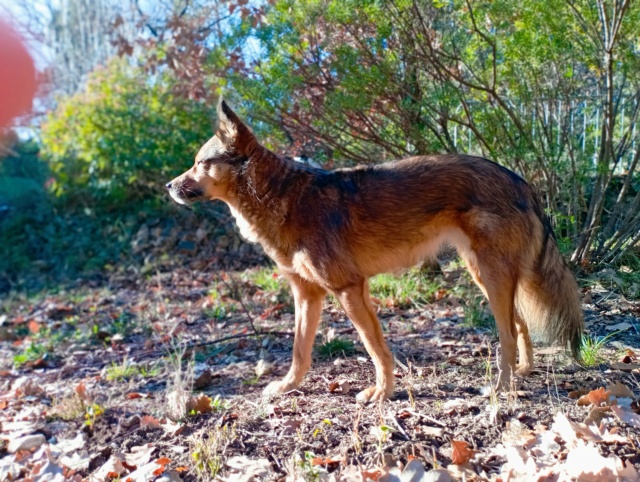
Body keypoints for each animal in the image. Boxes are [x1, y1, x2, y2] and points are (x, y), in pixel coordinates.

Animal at [169, 99, 584, 402]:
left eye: (199, 163)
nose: (169, 187)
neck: (282, 198)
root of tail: (522, 182)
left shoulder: (349, 290)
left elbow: (376, 350)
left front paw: (382, 393)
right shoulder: (307, 296)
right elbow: (300, 352)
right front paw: (287, 387)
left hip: (491, 279)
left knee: (508, 335)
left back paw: (500, 390)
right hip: (485, 277)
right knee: (519, 325)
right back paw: (523, 373)